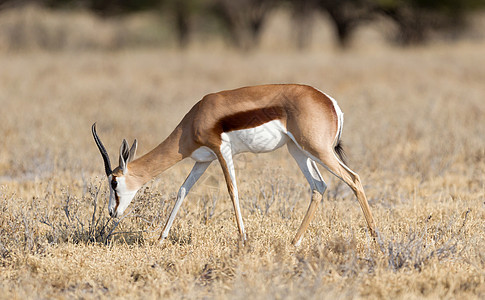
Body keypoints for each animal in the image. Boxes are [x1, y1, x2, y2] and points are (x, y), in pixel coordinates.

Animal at [91, 83, 378, 245]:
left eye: (113, 182)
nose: (111, 212)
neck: (195, 118)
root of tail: (330, 102)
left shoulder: (222, 151)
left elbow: (232, 191)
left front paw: (243, 239)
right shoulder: (203, 161)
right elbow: (183, 191)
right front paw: (161, 239)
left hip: (318, 150)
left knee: (353, 179)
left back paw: (375, 238)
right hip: (297, 150)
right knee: (319, 186)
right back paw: (294, 242)